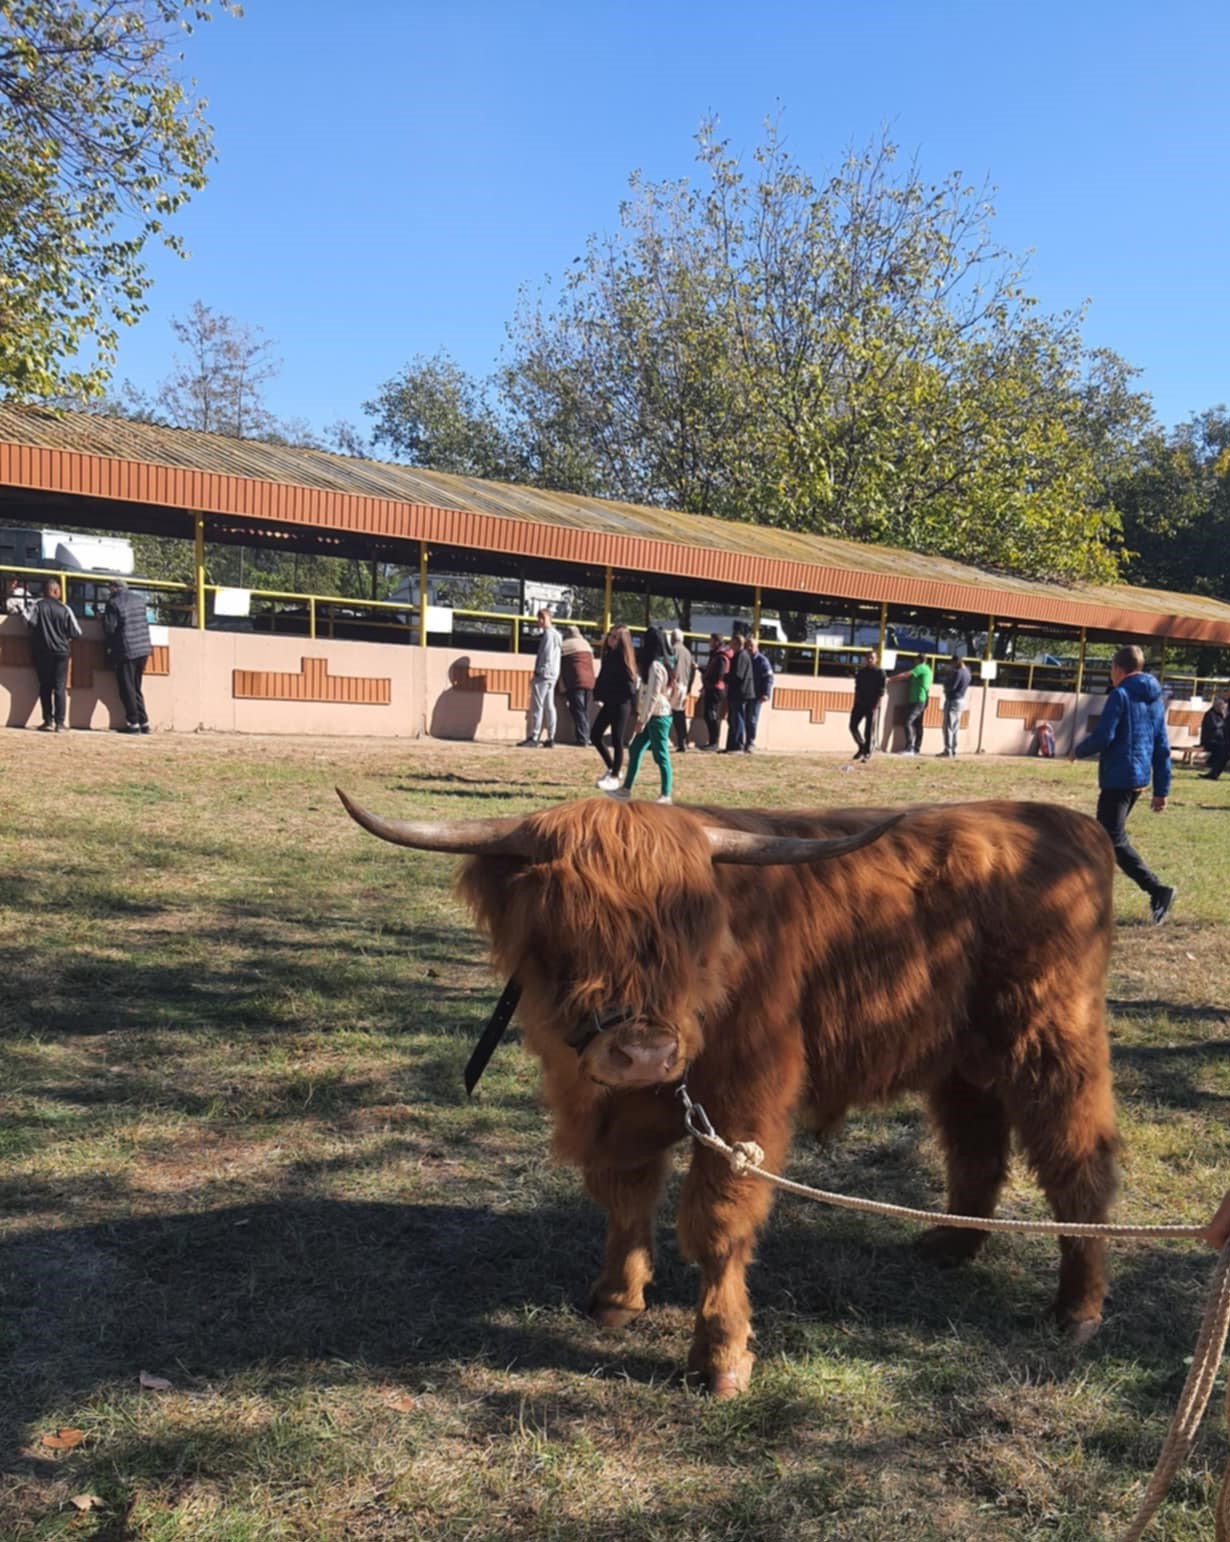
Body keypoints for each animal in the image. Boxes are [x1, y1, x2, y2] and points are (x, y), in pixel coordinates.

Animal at [339, 795, 1128, 1400]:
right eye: (566, 933)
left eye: (689, 935)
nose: (644, 1053)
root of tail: (1062, 822)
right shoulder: (614, 1114)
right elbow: (626, 1199)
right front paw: (616, 1298)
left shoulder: (745, 1104)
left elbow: (716, 1224)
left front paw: (719, 1358)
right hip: (962, 1058)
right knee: (976, 1144)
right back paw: (951, 1245)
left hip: (1053, 1041)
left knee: (1076, 1163)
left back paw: (1078, 1311)